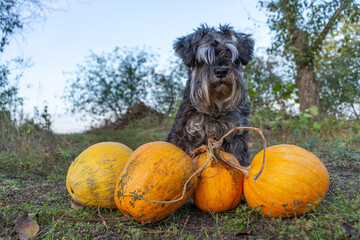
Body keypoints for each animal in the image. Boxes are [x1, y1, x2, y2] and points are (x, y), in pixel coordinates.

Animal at [167, 24, 255, 165]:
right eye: (204, 59)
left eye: (230, 54)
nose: (221, 71)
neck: (216, 109)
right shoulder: (186, 135)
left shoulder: (236, 135)